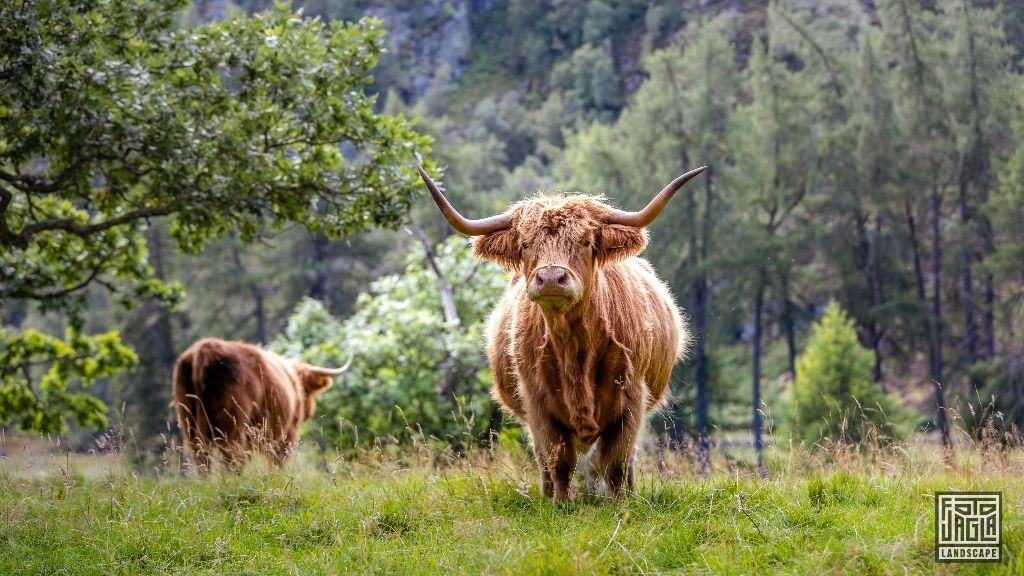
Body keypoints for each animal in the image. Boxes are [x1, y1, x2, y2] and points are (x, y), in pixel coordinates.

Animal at [172, 338, 351, 471]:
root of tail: (205, 348)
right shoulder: (287, 434)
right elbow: (277, 462)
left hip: (188, 421)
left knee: (201, 457)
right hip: (233, 421)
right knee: (232, 454)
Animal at [418, 164, 705, 501]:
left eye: (585, 241)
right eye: (525, 244)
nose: (552, 278)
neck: (574, 348)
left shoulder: (632, 397)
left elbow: (617, 463)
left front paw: (621, 503)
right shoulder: (537, 403)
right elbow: (558, 461)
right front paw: (561, 503)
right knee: (544, 460)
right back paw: (546, 495)